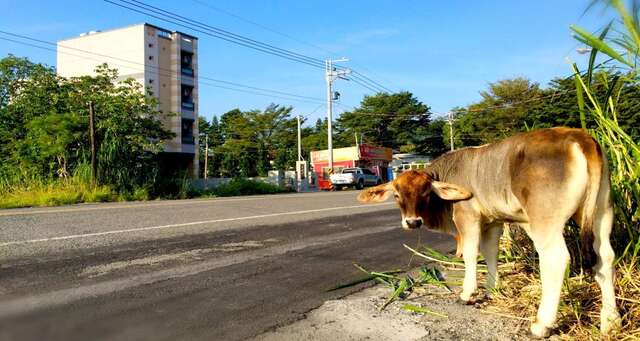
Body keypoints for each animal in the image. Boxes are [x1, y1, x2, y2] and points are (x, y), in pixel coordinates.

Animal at [358, 127, 616, 338]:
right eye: (397, 194)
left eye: (425, 193)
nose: (412, 222)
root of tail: (579, 137)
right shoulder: (492, 223)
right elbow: (490, 252)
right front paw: (492, 289)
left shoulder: (467, 217)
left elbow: (471, 254)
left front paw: (467, 293)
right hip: (602, 212)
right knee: (605, 256)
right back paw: (610, 321)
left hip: (545, 221)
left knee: (556, 260)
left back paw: (542, 325)